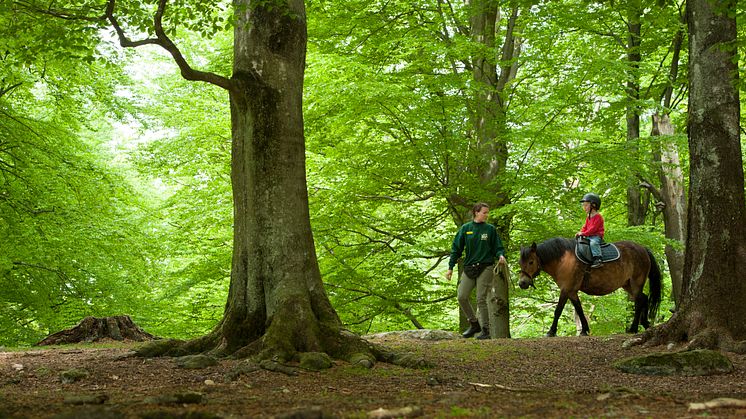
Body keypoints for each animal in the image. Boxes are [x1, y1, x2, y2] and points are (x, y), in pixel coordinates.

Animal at [516, 238, 656, 336]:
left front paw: (551, 331)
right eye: (520, 262)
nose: (522, 283)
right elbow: (579, 309)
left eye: (531, 262)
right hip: (628, 284)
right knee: (644, 298)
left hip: (636, 282)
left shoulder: (565, 290)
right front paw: (585, 330)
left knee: (639, 302)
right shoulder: (572, 291)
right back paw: (645, 323)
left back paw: (634, 328)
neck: (563, 260)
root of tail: (643, 249)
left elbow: (558, 310)